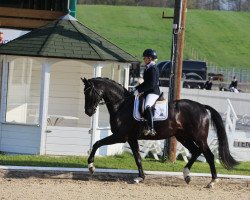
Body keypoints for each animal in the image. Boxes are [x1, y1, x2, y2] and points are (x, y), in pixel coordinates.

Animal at [81, 76, 238, 188]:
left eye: (89, 92)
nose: (88, 112)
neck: (121, 104)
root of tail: (202, 106)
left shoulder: (121, 136)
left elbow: (97, 143)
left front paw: (91, 167)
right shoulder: (131, 138)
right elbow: (137, 158)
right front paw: (140, 177)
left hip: (199, 137)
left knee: (209, 155)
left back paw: (212, 181)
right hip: (182, 137)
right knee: (195, 151)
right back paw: (187, 175)